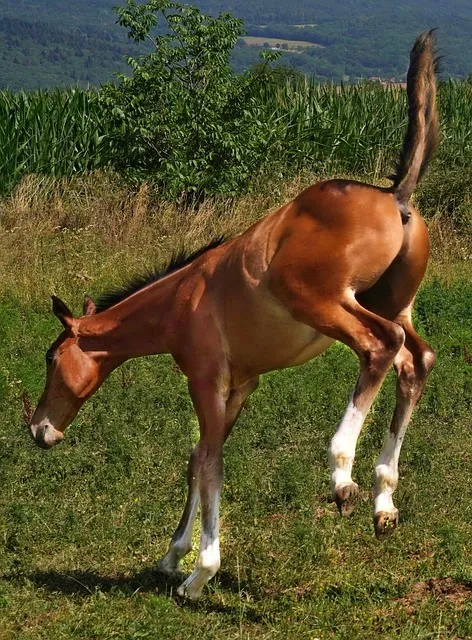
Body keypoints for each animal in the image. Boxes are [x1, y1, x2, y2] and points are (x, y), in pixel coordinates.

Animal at [27, 32, 439, 599]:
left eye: (51, 360)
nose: (40, 430)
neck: (181, 298)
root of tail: (395, 196)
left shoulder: (204, 378)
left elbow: (209, 464)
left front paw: (199, 573)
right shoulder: (241, 384)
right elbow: (199, 457)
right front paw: (172, 556)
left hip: (328, 305)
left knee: (382, 344)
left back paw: (343, 477)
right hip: (391, 302)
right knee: (416, 361)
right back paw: (383, 502)